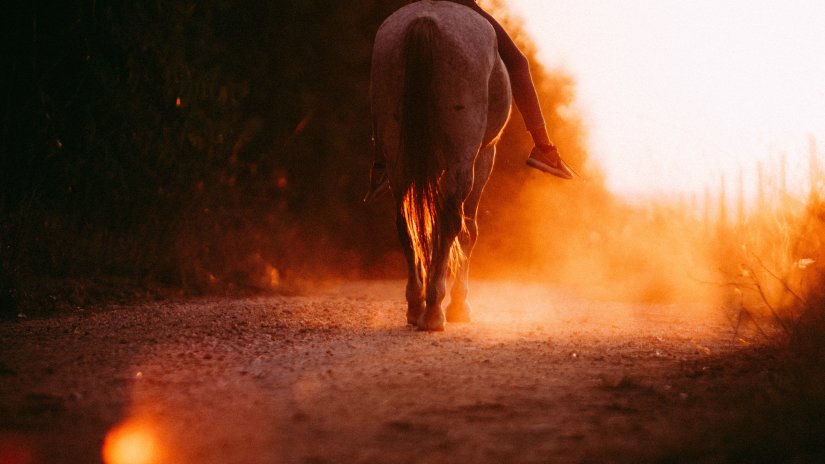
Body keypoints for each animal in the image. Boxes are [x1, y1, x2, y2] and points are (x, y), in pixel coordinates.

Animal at [372, 1, 508, 332]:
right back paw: (435, 310)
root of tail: (426, 21)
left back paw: (415, 306)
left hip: (399, 157)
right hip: (463, 156)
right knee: (451, 222)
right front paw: (460, 305)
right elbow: (468, 230)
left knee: (405, 221)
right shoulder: (484, 155)